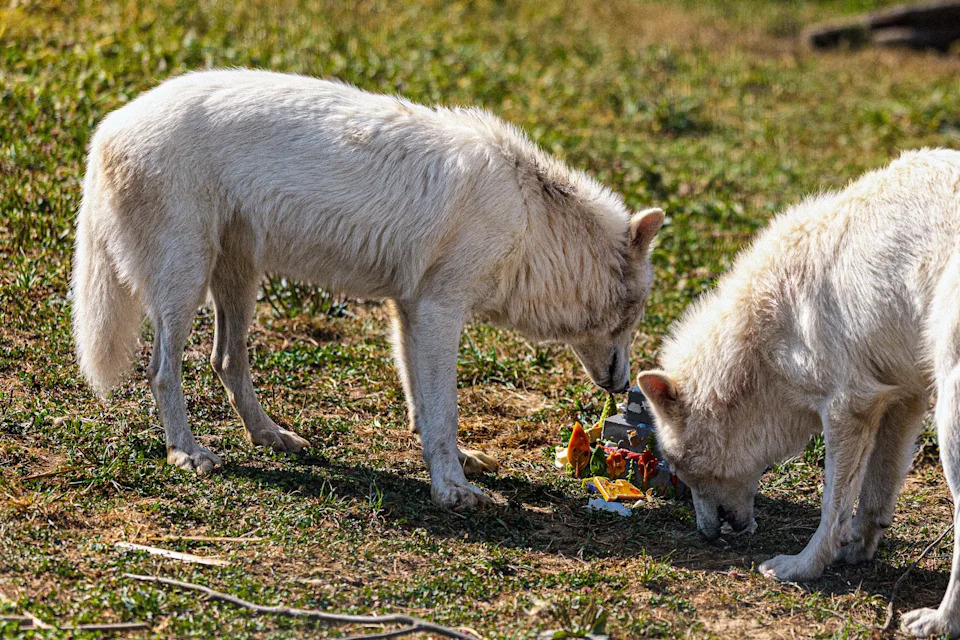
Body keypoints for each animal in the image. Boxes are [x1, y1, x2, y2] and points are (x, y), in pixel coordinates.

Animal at [72, 69, 664, 510]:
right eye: (635, 316)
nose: (624, 384)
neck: (532, 224)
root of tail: (107, 127)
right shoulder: (438, 312)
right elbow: (443, 410)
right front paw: (454, 490)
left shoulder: (409, 311)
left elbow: (423, 408)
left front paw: (458, 465)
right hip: (186, 284)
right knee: (162, 371)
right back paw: (187, 452)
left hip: (238, 283)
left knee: (225, 361)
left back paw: (271, 437)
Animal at [637, 148, 960, 637]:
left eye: (677, 467)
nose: (705, 534)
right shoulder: (902, 398)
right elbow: (873, 498)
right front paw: (854, 553)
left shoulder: (847, 409)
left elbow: (832, 505)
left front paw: (802, 568)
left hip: (949, 430)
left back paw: (940, 621)